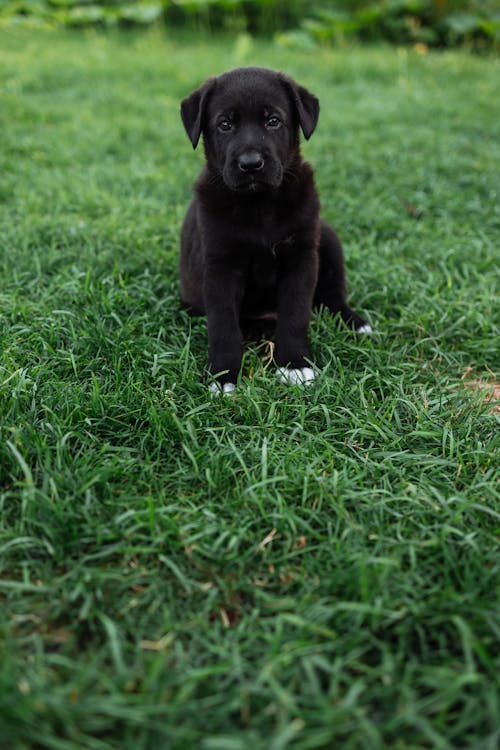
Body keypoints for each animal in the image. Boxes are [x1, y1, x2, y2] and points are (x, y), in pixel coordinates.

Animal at [179, 67, 368, 394]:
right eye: (225, 125)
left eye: (273, 121)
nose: (250, 164)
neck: (259, 206)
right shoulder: (220, 266)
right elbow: (223, 325)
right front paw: (223, 375)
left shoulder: (301, 257)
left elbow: (296, 314)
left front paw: (295, 364)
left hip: (327, 237)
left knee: (333, 296)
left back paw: (354, 322)